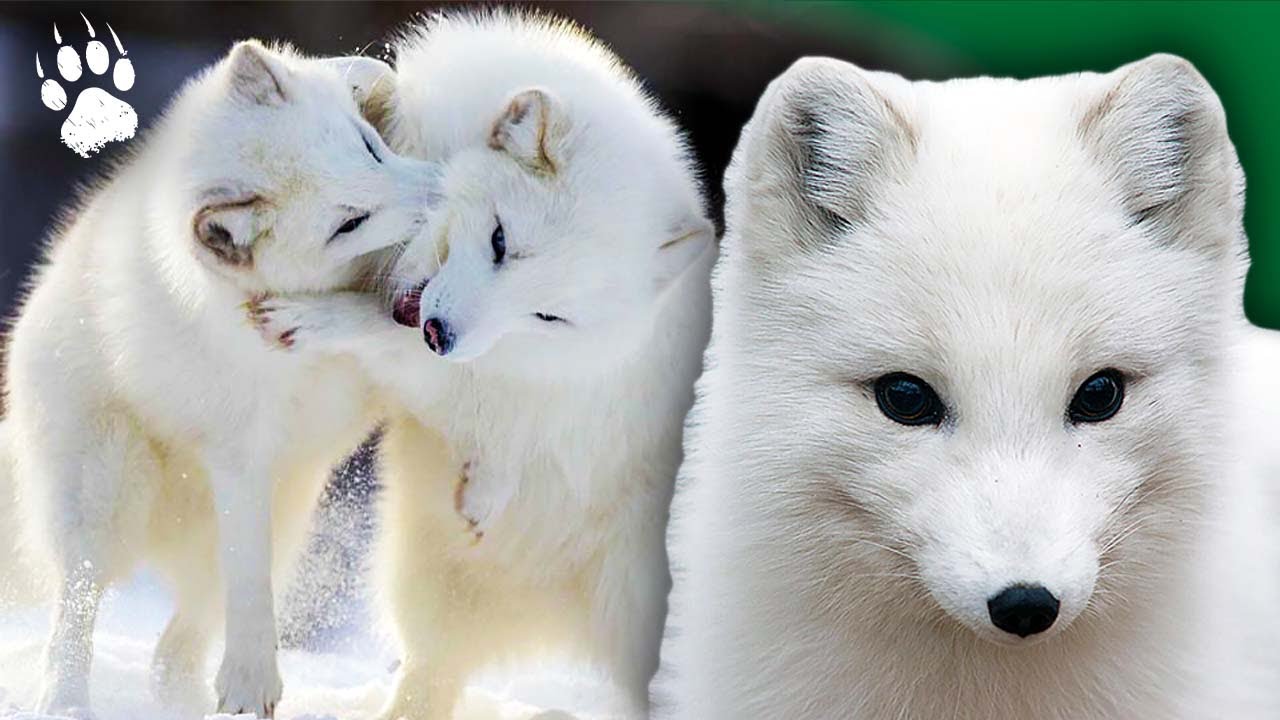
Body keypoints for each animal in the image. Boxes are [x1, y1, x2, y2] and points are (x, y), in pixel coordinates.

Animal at [0, 41, 440, 717]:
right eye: (349, 223)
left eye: (370, 147)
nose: (442, 191)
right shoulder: (240, 454)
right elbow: (250, 589)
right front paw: (254, 678)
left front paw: (364, 76)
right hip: (106, 494)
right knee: (79, 608)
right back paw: (68, 700)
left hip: (286, 513)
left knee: (176, 645)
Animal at [245, 10, 716, 719]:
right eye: (498, 239)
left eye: (549, 316)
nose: (441, 333)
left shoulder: (481, 377)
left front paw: (317, 320)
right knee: (430, 668)